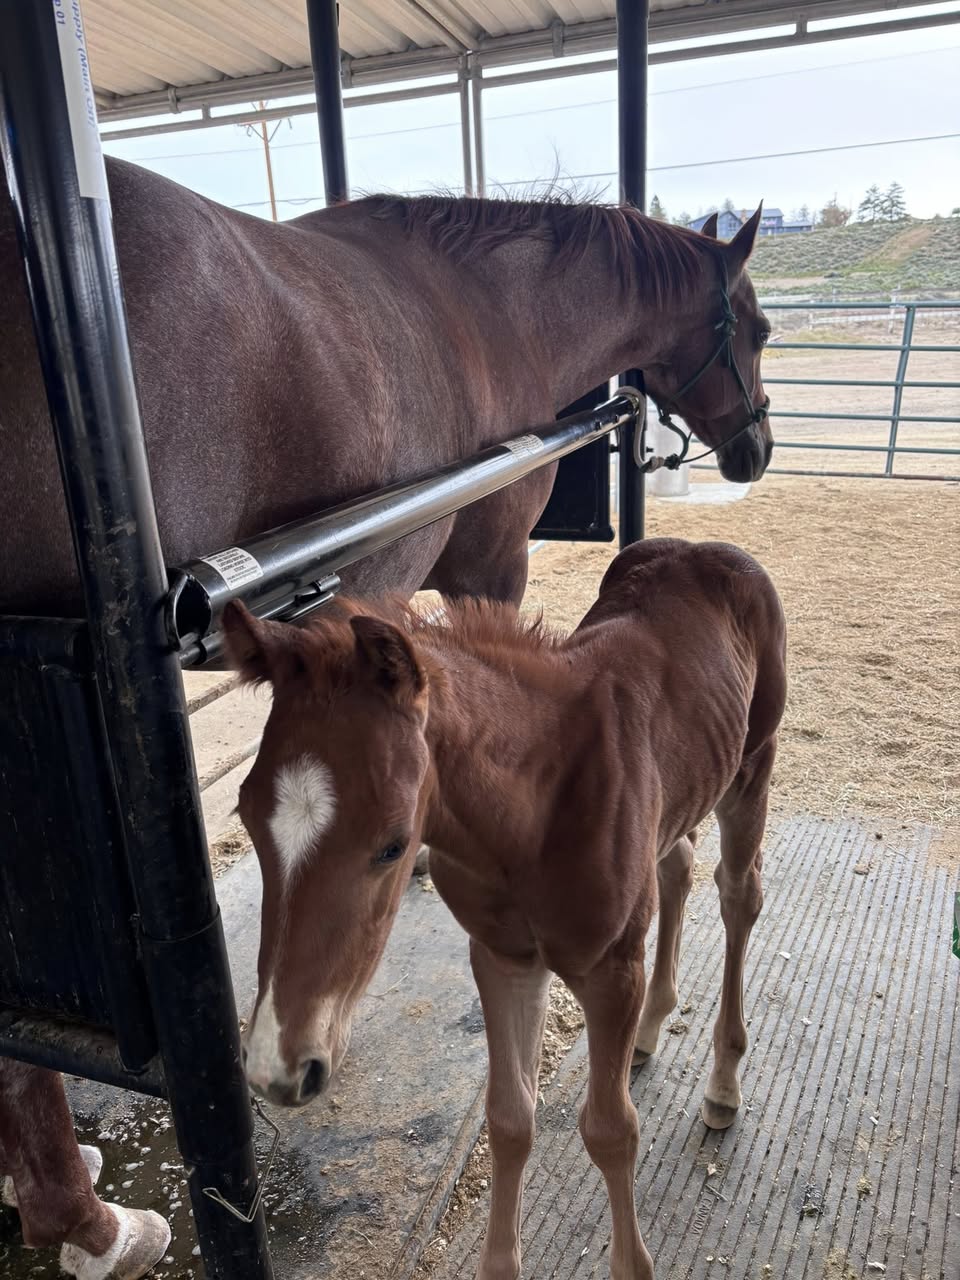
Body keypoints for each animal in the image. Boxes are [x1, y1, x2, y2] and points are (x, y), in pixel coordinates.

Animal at [221, 536, 787, 1280]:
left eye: (393, 844)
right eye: (246, 815)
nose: (277, 1068)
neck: (535, 807)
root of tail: (706, 547)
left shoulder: (612, 971)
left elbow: (612, 1130)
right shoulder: (502, 957)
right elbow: (510, 1118)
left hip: (752, 769)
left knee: (738, 894)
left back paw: (723, 1082)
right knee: (678, 866)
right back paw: (650, 1030)